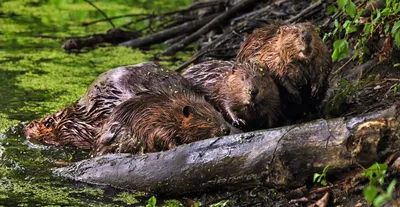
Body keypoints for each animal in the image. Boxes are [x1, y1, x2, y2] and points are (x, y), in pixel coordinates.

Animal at [94, 88, 231, 155]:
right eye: (208, 119)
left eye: (220, 115)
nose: (226, 129)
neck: (171, 112)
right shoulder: (155, 121)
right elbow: (160, 136)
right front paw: (175, 145)